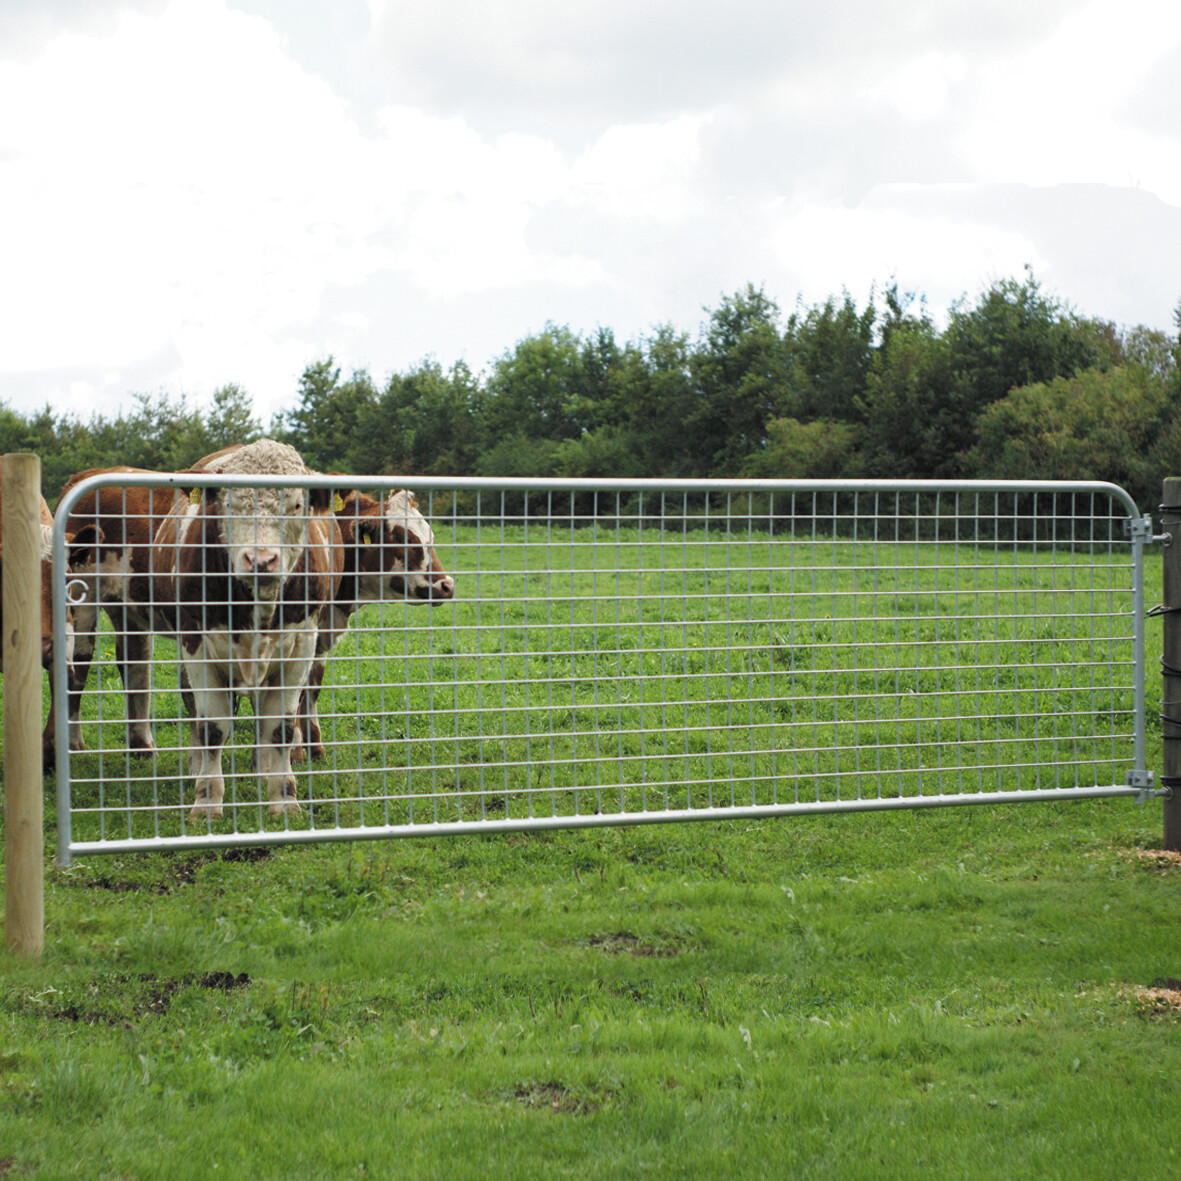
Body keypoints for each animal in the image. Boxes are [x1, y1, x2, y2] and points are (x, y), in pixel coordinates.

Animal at [153, 439, 342, 817]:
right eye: (230, 504)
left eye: (296, 504)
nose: (261, 560)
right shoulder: (195, 641)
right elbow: (211, 728)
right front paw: (207, 801)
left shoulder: (302, 643)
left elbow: (281, 727)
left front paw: (283, 798)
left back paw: (264, 768)